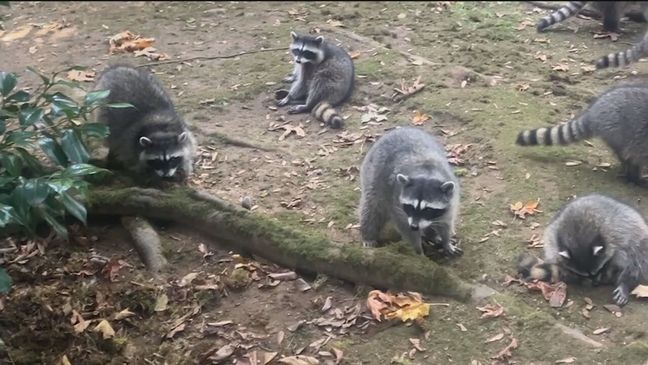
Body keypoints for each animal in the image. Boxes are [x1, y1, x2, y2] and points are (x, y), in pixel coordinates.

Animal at [360, 126, 460, 258]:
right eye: (410, 206)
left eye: (428, 209)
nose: (414, 226)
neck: (426, 173)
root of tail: (400, 128)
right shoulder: (397, 202)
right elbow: (405, 227)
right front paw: (418, 250)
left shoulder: (452, 198)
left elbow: (445, 221)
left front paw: (446, 241)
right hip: (371, 173)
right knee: (372, 207)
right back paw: (368, 235)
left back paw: (432, 235)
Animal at [520, 192, 648, 306]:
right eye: (585, 275)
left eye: (598, 270)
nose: (595, 283)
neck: (579, 234)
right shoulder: (554, 240)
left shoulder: (619, 232)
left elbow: (634, 259)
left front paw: (626, 280)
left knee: (636, 255)